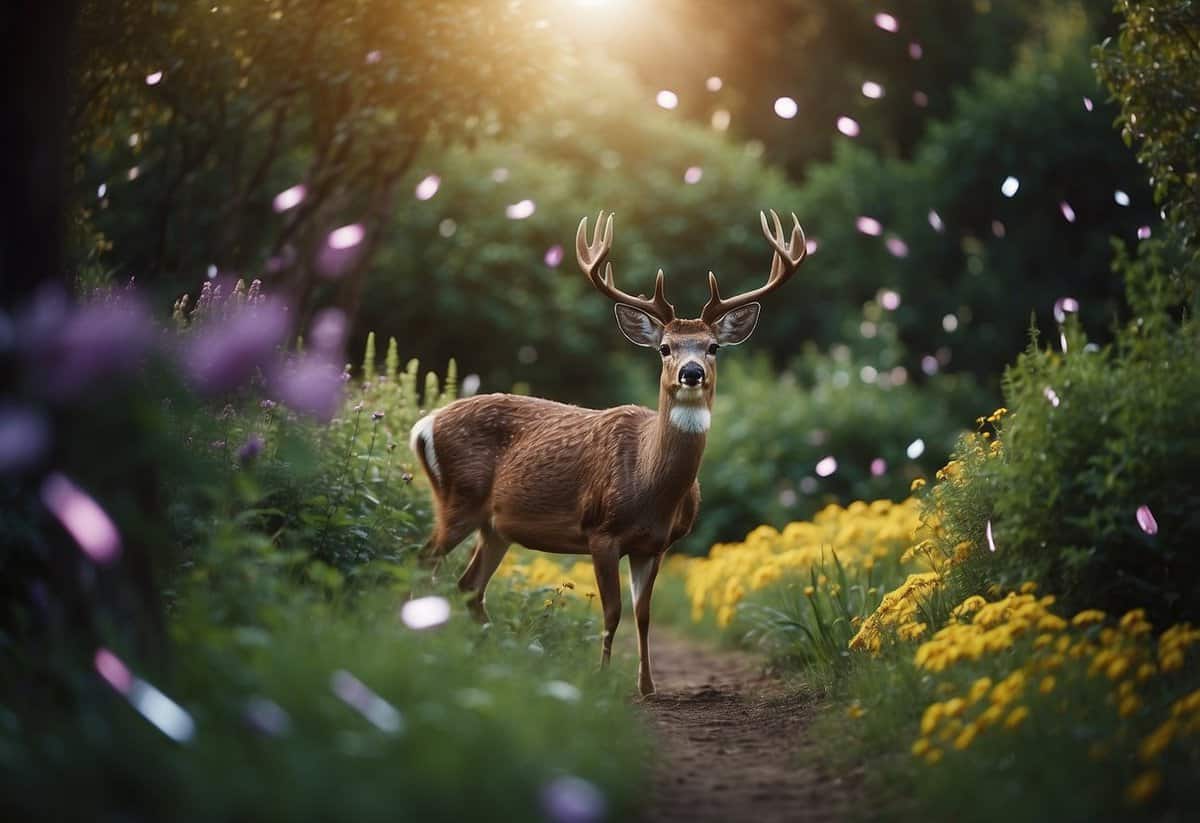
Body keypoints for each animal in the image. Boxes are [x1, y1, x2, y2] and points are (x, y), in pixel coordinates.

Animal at [408, 207, 811, 695]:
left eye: (713, 346)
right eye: (665, 348)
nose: (691, 372)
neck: (650, 484)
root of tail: (424, 425)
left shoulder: (656, 544)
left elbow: (643, 614)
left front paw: (648, 686)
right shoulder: (600, 531)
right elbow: (612, 611)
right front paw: (602, 679)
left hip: (496, 526)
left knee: (469, 585)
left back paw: (494, 653)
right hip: (458, 499)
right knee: (424, 561)